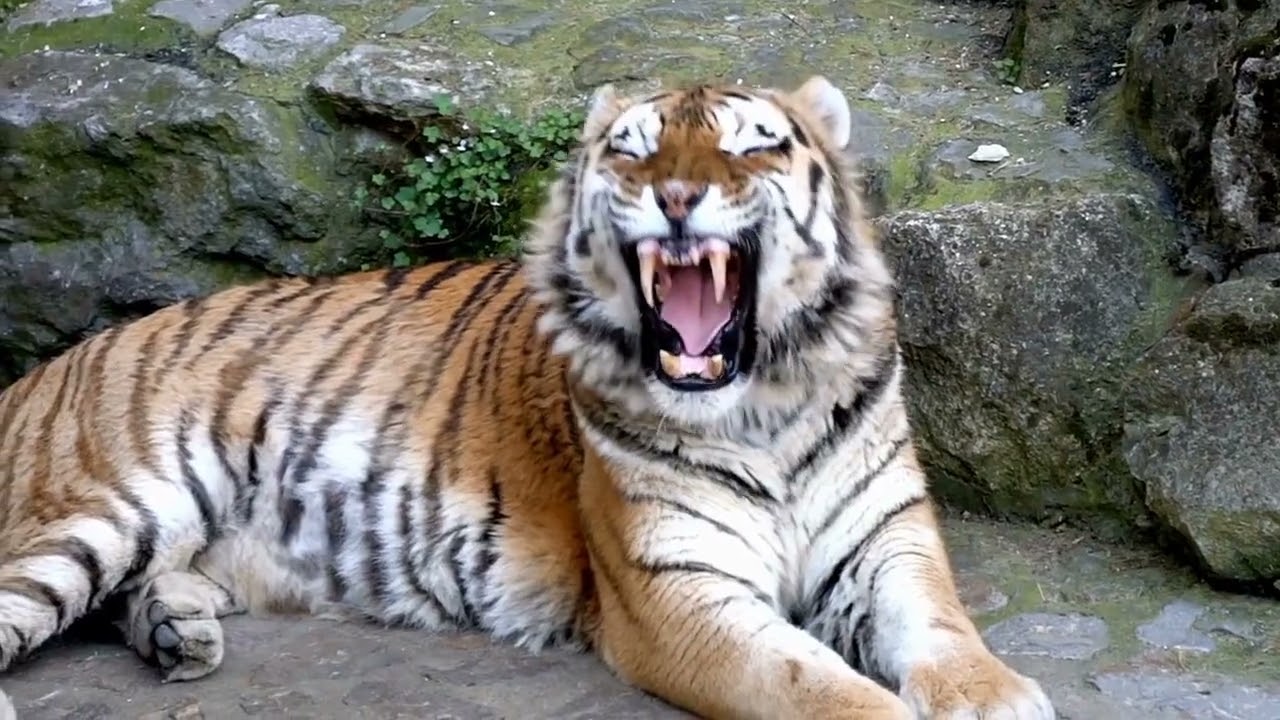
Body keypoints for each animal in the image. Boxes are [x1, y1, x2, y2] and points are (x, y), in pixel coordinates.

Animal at [0, 74, 1054, 719]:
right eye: (631, 153)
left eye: (753, 149)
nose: (676, 198)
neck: (765, 405)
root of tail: (41, 370)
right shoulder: (676, 593)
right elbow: (814, 683)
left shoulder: (889, 543)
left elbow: (946, 633)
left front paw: (999, 696)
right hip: (108, 506)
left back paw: (177, 633)